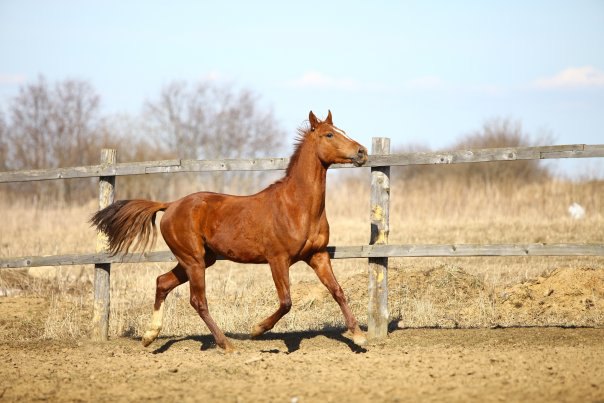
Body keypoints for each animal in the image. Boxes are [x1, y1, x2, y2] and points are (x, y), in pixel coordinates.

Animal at [92, 109, 368, 350]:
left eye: (342, 130)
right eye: (329, 134)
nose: (362, 152)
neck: (298, 206)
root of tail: (169, 205)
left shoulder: (317, 255)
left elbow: (338, 291)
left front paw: (359, 336)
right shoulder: (278, 259)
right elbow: (286, 301)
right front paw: (257, 330)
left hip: (200, 259)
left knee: (162, 282)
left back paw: (150, 336)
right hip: (194, 261)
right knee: (198, 301)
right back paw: (226, 344)